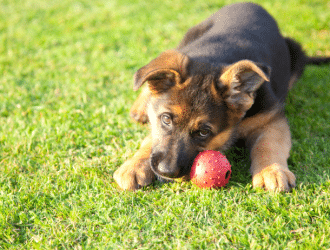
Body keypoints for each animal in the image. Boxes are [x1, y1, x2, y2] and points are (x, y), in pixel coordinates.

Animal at [114, 2, 330, 191]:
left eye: (204, 132)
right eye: (166, 119)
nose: (166, 172)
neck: (216, 57)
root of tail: (250, 4)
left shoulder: (270, 118)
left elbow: (269, 144)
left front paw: (272, 171)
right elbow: (151, 138)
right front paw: (134, 165)